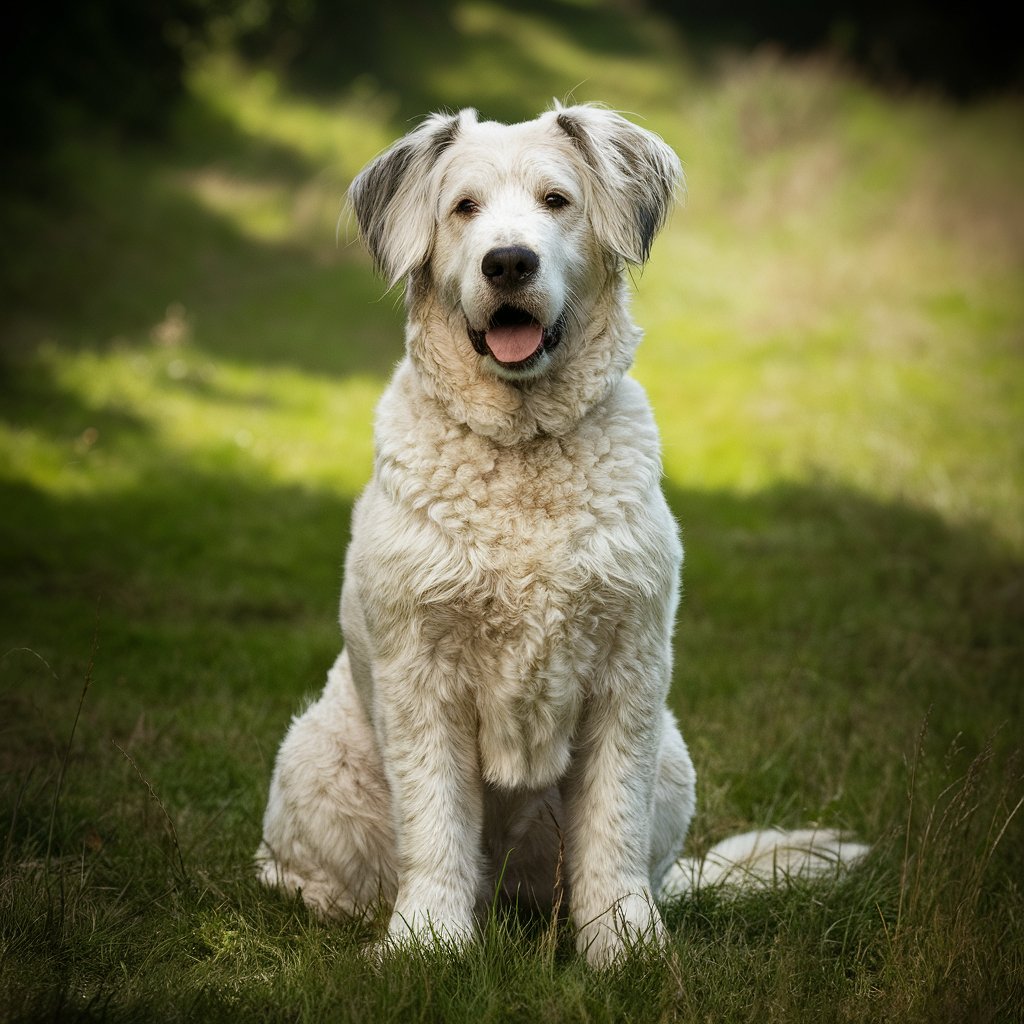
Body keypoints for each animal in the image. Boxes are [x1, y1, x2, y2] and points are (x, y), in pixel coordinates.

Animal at [256, 103, 864, 966]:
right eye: (464, 208)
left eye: (556, 200)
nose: (509, 262)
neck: (523, 452)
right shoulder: (420, 674)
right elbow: (436, 824)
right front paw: (427, 944)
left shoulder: (629, 671)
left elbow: (611, 830)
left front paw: (626, 947)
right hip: (314, 760)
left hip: (672, 761)